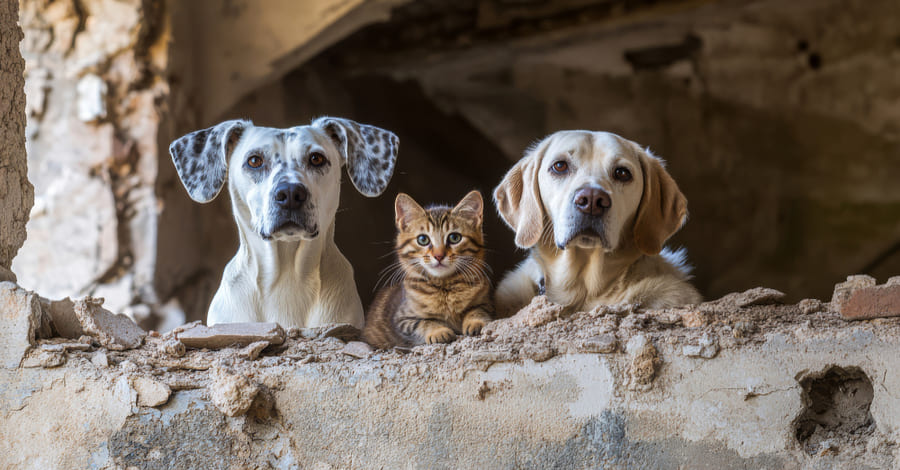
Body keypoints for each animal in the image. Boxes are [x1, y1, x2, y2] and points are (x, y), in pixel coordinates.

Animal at [364, 191, 492, 348]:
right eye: (423, 239)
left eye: (454, 237)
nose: (438, 255)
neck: (444, 287)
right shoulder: (402, 319)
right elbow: (423, 322)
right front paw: (438, 331)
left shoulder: (486, 302)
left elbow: (478, 310)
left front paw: (476, 322)